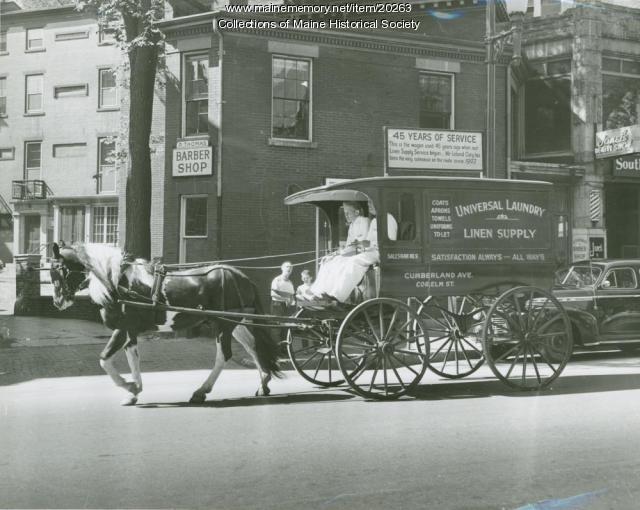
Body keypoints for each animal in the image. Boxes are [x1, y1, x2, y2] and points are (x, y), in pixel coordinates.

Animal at [50, 243, 280, 406]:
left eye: (59, 271)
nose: (57, 302)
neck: (118, 283)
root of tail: (241, 276)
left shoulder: (124, 328)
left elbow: (106, 359)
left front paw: (130, 387)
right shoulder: (128, 330)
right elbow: (127, 358)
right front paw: (134, 391)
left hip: (223, 325)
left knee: (224, 355)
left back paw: (201, 391)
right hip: (235, 323)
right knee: (253, 347)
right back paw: (263, 384)